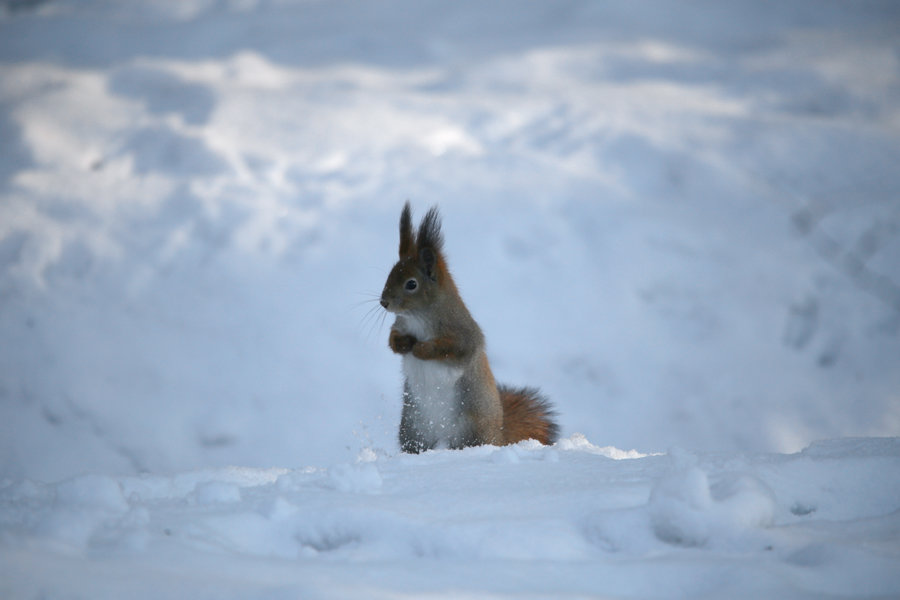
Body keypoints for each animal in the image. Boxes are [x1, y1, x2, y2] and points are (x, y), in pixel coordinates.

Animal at [378, 203, 556, 454]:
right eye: (390, 273)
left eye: (411, 284)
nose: (384, 302)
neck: (418, 318)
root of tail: (498, 436)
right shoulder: (400, 324)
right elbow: (392, 338)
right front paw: (403, 344)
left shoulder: (463, 334)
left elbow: (455, 349)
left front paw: (422, 349)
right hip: (413, 429)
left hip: (471, 429)